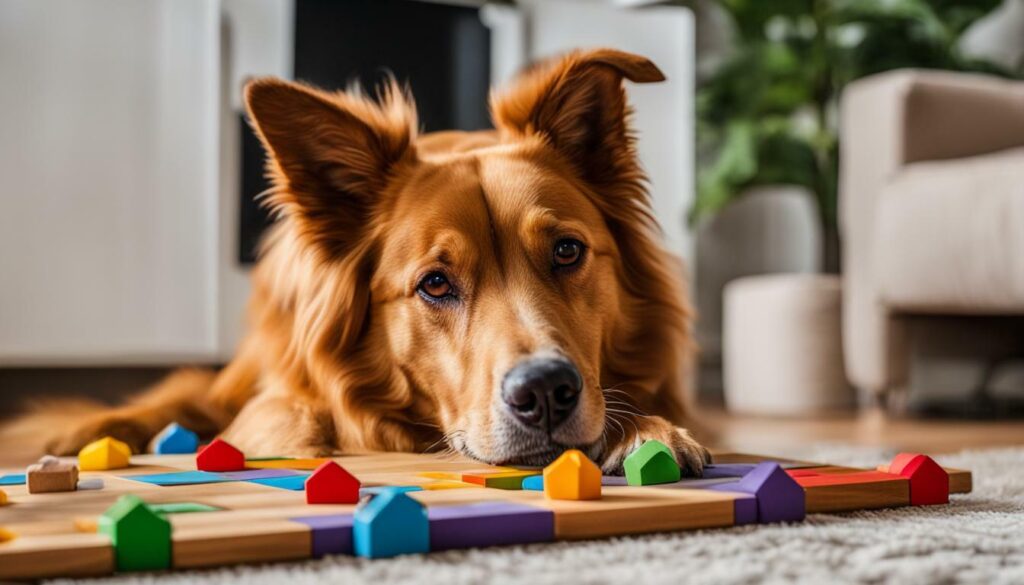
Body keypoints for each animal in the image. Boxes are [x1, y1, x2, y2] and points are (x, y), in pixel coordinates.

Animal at [22, 48, 704, 473]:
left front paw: (649, 431)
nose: (544, 393)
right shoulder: (285, 398)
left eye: (567, 251)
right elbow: (281, 423)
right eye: (435, 284)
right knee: (184, 399)